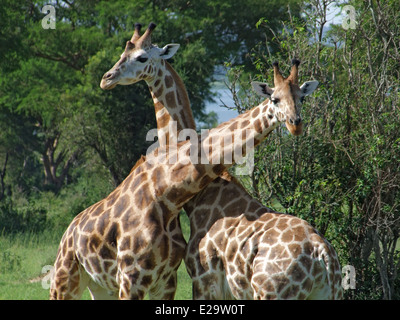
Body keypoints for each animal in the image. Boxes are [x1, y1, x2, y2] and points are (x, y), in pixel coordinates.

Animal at [98, 23, 342, 300]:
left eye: (141, 57)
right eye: (122, 53)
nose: (106, 78)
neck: (201, 195)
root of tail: (323, 256)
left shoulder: (204, 278)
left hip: (271, 292)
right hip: (329, 293)